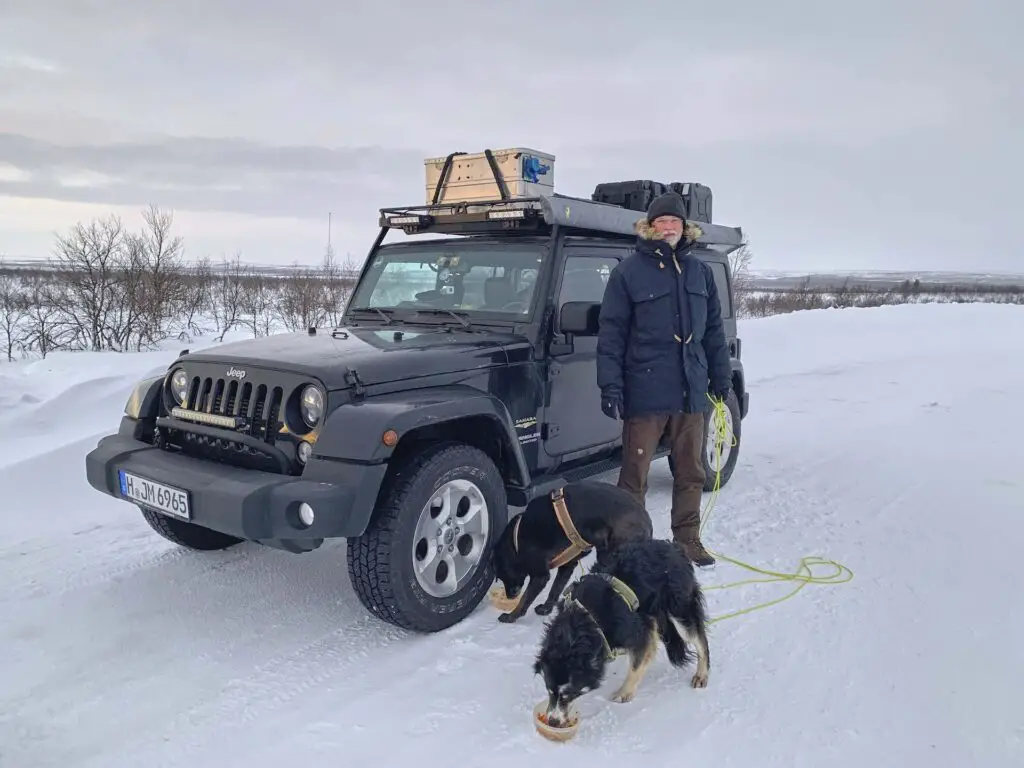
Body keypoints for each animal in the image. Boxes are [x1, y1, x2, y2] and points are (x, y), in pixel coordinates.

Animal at [489, 481, 651, 626]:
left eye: (502, 575)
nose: (509, 596)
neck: (515, 541)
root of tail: (646, 522)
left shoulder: (540, 575)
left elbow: (525, 600)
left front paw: (511, 616)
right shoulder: (567, 565)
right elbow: (555, 590)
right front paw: (546, 609)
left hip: (609, 556)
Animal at [532, 536, 708, 729]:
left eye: (569, 693)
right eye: (550, 691)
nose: (553, 721)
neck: (584, 619)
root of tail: (675, 547)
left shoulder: (635, 632)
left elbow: (636, 664)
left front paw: (625, 692)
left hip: (679, 610)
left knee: (700, 640)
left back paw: (702, 674)